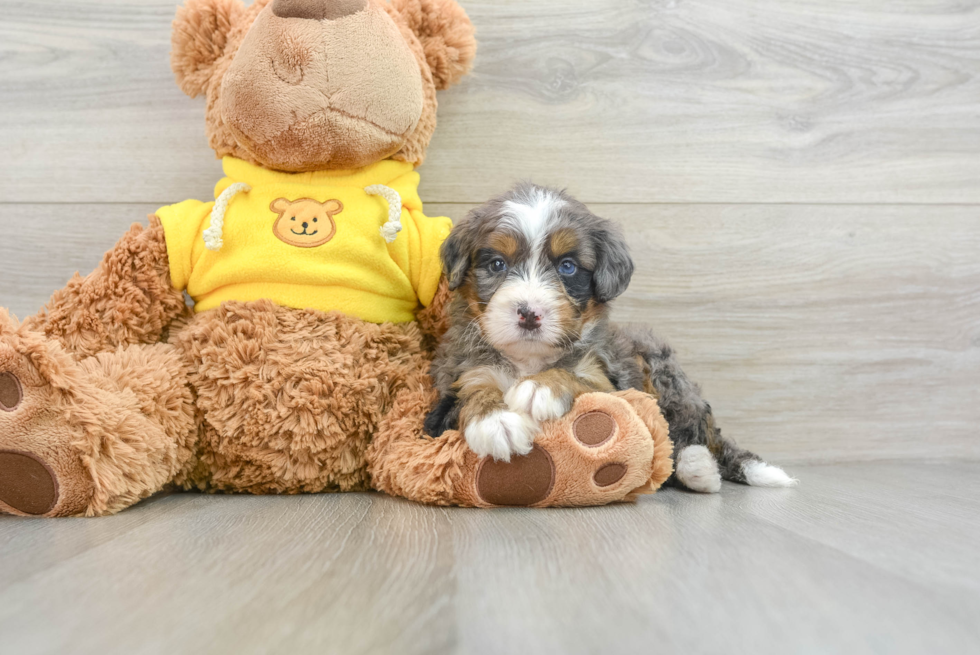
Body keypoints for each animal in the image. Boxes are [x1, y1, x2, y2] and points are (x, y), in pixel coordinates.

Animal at [424, 184, 796, 492]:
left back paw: (699, 467)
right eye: (497, 264)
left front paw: (541, 387)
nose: (529, 313)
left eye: (568, 266)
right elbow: (475, 388)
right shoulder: (459, 372)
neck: (529, 358)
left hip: (661, 370)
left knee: (694, 433)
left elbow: (575, 375)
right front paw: (495, 420)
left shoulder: (610, 381)